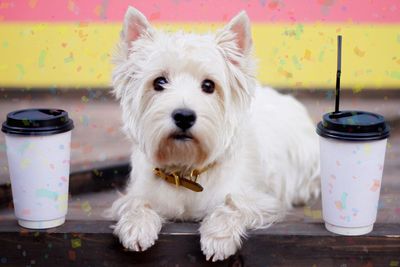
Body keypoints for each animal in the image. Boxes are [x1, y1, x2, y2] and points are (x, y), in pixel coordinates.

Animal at [108, 6, 320, 262]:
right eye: (159, 82)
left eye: (209, 85)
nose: (184, 116)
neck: (186, 171)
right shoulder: (139, 191)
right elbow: (137, 203)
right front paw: (136, 228)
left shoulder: (262, 199)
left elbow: (233, 204)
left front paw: (218, 239)